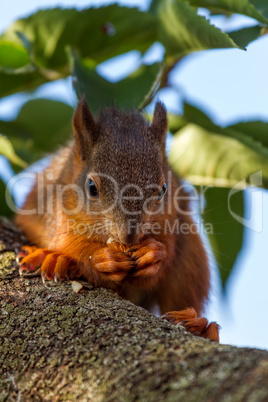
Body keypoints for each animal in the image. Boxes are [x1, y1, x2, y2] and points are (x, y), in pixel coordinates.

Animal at [15, 99, 220, 340]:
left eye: (163, 189)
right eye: (91, 187)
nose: (129, 236)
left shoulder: (173, 218)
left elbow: (164, 253)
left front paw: (153, 253)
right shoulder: (52, 210)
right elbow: (68, 242)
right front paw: (100, 258)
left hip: (192, 262)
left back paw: (198, 325)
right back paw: (55, 259)